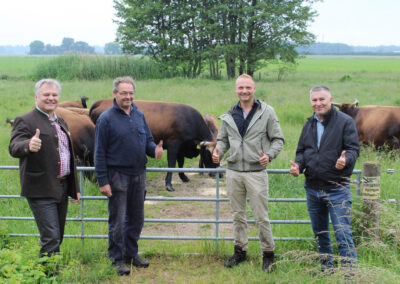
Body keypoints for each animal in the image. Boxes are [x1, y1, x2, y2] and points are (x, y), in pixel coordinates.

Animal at [89, 98, 219, 192]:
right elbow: (172, 164)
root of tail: (102, 101)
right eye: (209, 154)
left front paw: (184, 177)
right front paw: (168, 184)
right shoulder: (174, 144)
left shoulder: (181, 146)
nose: (219, 175)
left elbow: (180, 163)